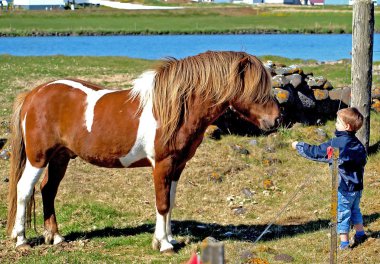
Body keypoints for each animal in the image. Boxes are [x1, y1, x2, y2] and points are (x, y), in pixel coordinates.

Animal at [4, 50, 280, 254]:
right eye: (257, 90)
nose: (276, 120)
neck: (174, 108)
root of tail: (33, 94)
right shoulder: (162, 164)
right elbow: (162, 203)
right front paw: (164, 245)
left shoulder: (178, 166)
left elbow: (171, 201)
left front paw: (169, 238)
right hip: (38, 158)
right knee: (24, 190)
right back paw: (22, 240)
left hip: (60, 158)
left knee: (48, 190)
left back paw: (55, 237)